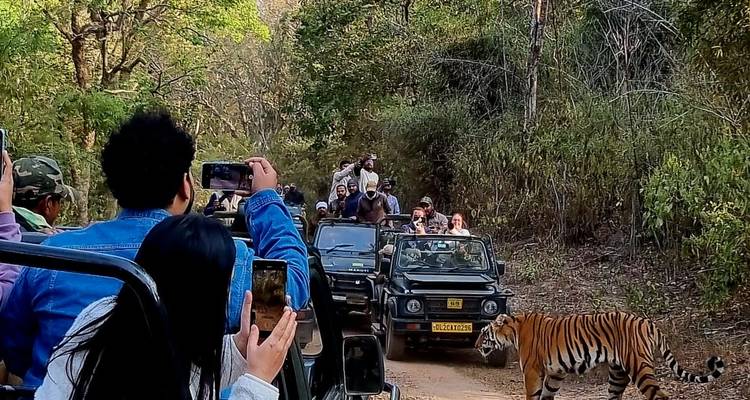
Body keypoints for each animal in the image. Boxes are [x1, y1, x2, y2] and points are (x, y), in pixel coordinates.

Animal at [475, 312, 725, 400]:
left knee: (660, 396)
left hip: (639, 367)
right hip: (618, 374)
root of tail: (648, 321)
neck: (514, 330)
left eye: (484, 333)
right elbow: (546, 396)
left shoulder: (533, 371)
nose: (476, 345)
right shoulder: (555, 373)